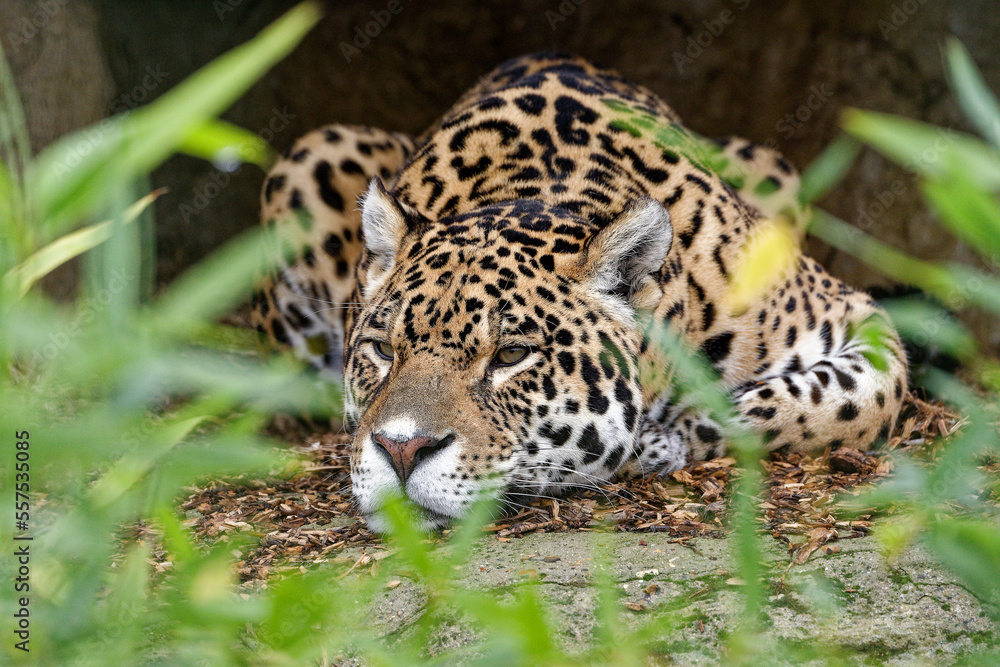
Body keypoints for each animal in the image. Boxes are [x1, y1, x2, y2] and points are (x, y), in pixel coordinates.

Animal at [251, 53, 907, 531]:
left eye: (511, 355)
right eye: (384, 350)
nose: (401, 450)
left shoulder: (861, 323)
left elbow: (809, 405)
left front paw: (660, 442)